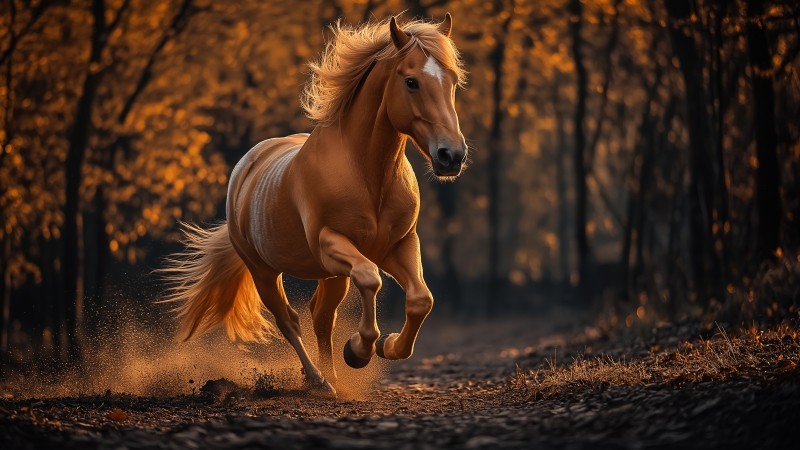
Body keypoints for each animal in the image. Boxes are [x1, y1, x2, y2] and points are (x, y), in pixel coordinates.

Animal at [161, 14, 468, 397]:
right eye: (411, 81)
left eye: (453, 81)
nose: (451, 155)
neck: (367, 174)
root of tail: (246, 168)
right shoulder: (330, 243)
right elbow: (370, 279)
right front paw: (359, 350)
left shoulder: (399, 244)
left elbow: (421, 299)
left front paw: (389, 346)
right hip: (265, 271)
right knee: (289, 320)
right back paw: (318, 380)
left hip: (331, 274)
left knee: (321, 315)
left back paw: (332, 376)